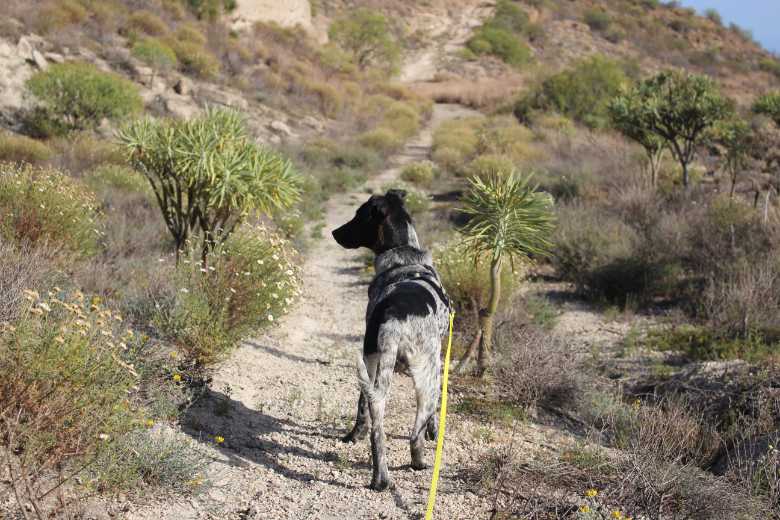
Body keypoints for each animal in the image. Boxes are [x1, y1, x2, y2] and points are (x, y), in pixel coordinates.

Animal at [332, 189, 451, 491]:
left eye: (358, 215)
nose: (334, 232)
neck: (405, 258)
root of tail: (395, 318)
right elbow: (434, 417)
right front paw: (434, 432)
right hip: (426, 376)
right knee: (414, 431)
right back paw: (418, 463)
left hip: (373, 362)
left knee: (372, 416)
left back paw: (380, 476)